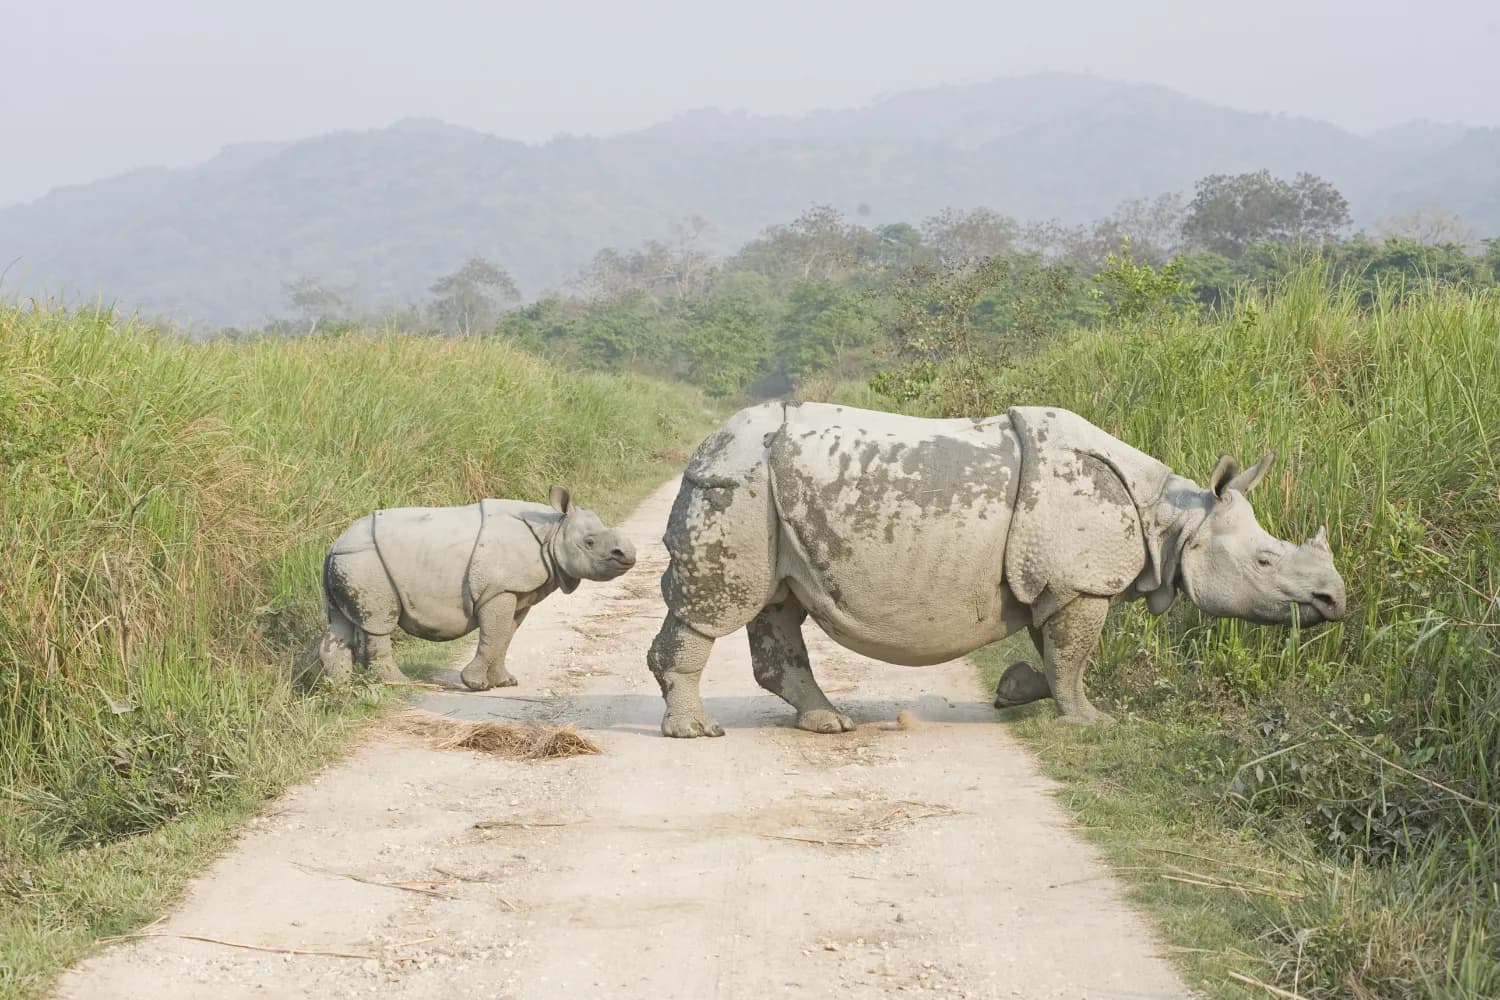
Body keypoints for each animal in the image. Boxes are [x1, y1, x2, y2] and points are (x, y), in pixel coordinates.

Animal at [319, 486, 636, 689]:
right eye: (590, 543)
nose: (628, 554)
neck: (551, 531)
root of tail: (334, 545)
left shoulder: (518, 592)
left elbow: (505, 636)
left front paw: (505, 682)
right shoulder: (500, 589)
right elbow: (494, 635)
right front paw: (475, 684)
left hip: (351, 560)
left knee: (340, 624)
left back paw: (339, 689)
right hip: (367, 561)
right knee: (378, 624)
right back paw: (399, 684)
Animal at [647, 402, 1346, 737]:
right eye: (1265, 560)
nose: (1334, 601)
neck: (1171, 518)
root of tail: (706, 445)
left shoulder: (1054, 580)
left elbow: (1055, 653)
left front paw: (1012, 690)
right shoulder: (1079, 581)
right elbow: (1073, 657)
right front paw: (1092, 723)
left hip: (763, 492)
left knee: (776, 601)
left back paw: (828, 724)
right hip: (736, 484)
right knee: (720, 605)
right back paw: (697, 733)